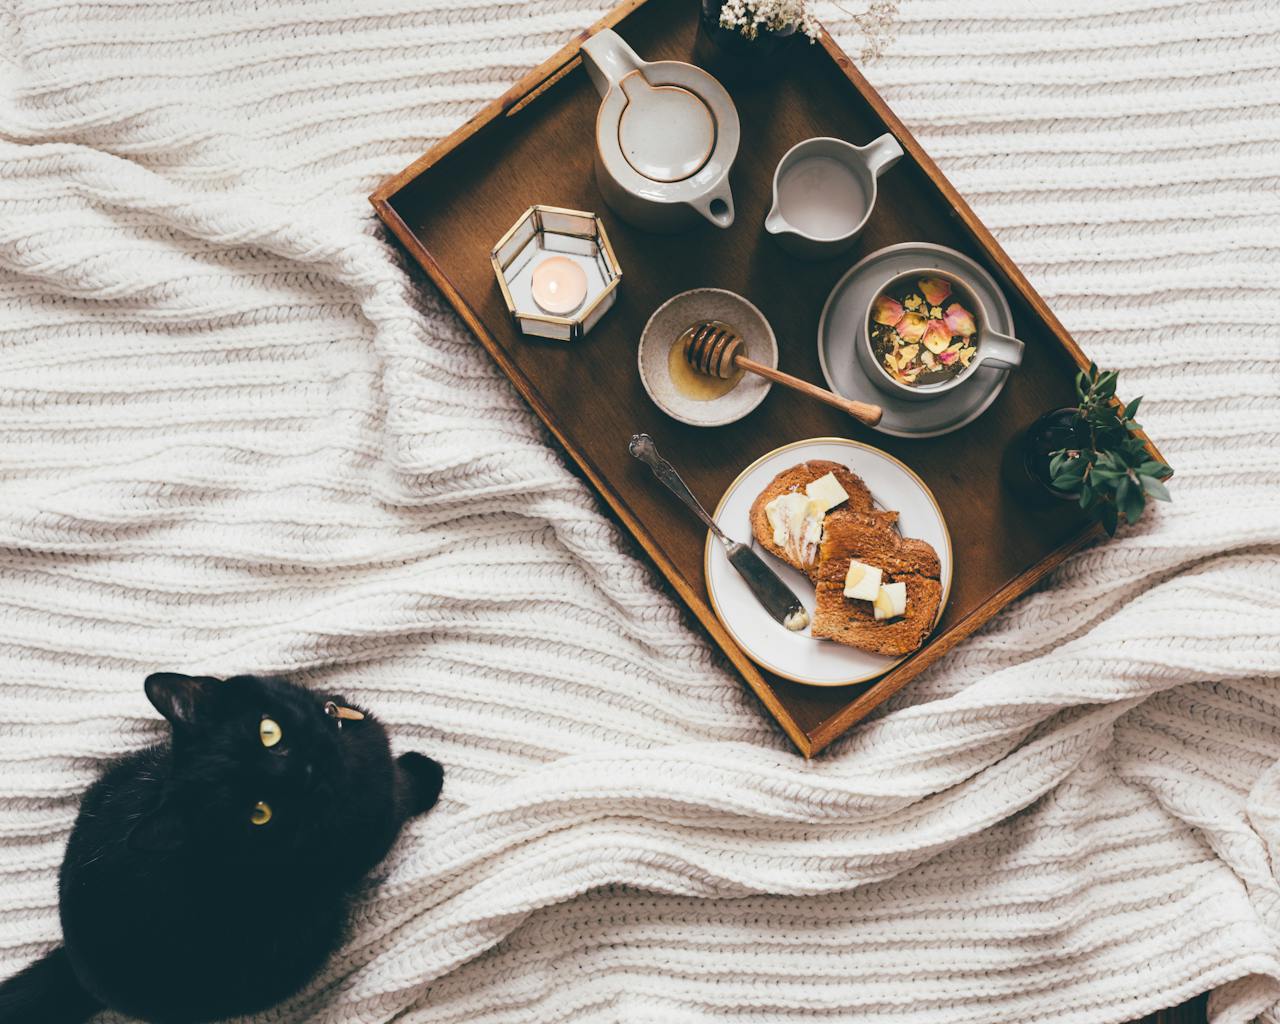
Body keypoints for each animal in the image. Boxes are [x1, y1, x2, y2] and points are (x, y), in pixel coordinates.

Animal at [0, 670, 445, 1024]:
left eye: (269, 732)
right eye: (259, 812)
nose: (308, 771)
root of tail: (76, 970)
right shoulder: (368, 835)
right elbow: (401, 795)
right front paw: (427, 775)